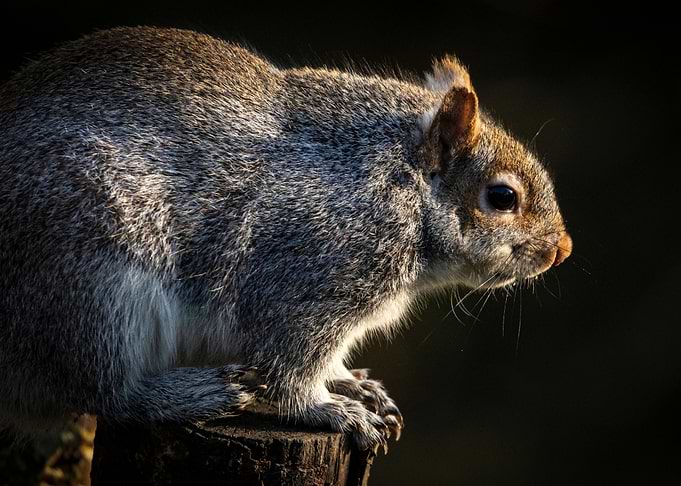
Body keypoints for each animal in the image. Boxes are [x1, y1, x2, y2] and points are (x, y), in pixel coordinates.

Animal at [0, 26, 572, 450]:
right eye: (502, 197)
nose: (561, 251)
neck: (399, 186)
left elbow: (327, 361)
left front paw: (351, 382)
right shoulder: (301, 287)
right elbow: (290, 370)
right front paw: (330, 409)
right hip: (91, 290)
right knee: (106, 392)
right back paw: (196, 392)